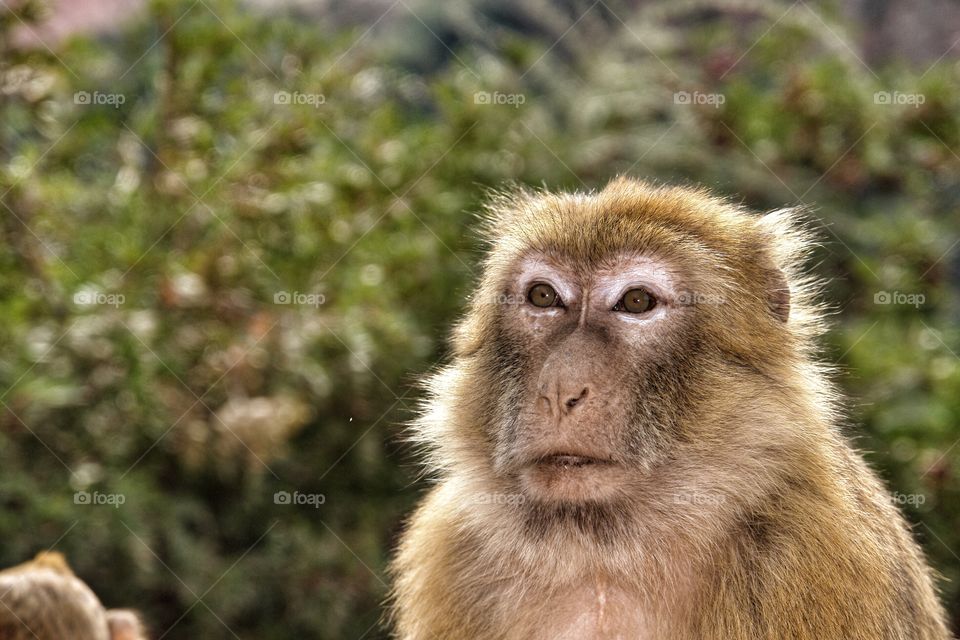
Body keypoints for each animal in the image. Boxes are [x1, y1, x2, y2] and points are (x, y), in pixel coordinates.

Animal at [392, 179, 952, 640]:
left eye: (637, 302)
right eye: (544, 296)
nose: (559, 389)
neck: (604, 555)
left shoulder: (818, 552)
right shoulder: (451, 550)